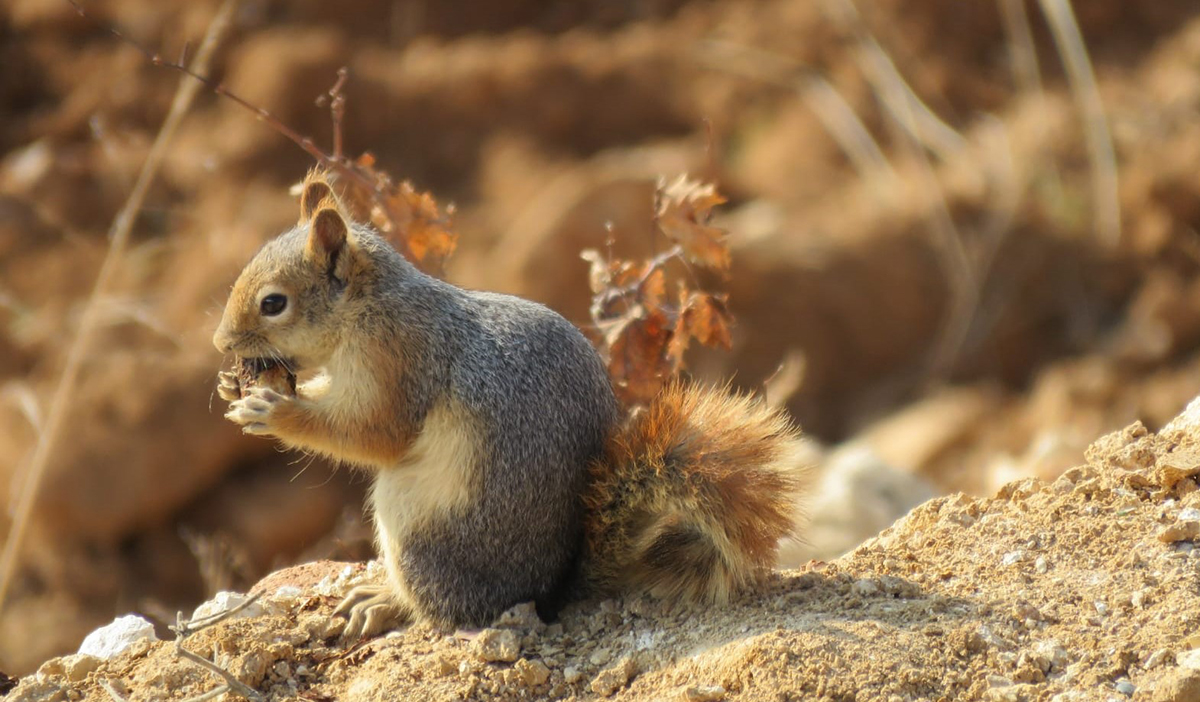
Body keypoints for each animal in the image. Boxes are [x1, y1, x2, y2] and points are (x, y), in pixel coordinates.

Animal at [213, 168, 816, 633]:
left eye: (273, 303)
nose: (221, 343)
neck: (371, 304)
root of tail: (550, 590)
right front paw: (233, 386)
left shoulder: (396, 362)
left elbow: (373, 431)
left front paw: (274, 411)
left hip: (415, 525)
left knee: (447, 610)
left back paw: (384, 601)